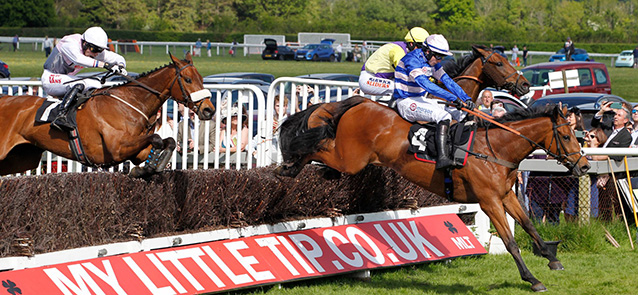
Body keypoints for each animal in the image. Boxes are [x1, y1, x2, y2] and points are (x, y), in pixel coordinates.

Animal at [0, 52, 215, 178]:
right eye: (187, 79)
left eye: (201, 78)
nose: (209, 109)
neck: (130, 103)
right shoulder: (117, 148)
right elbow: (156, 138)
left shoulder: (135, 151)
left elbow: (166, 141)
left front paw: (151, 166)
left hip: (21, 157)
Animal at [278, 45, 592, 292]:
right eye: (567, 137)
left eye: (576, 135)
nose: (585, 165)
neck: (495, 148)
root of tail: (356, 103)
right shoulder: (489, 201)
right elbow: (510, 241)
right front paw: (532, 278)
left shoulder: (507, 195)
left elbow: (528, 225)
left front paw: (550, 256)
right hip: (350, 158)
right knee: (314, 147)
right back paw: (288, 168)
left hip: (352, 159)